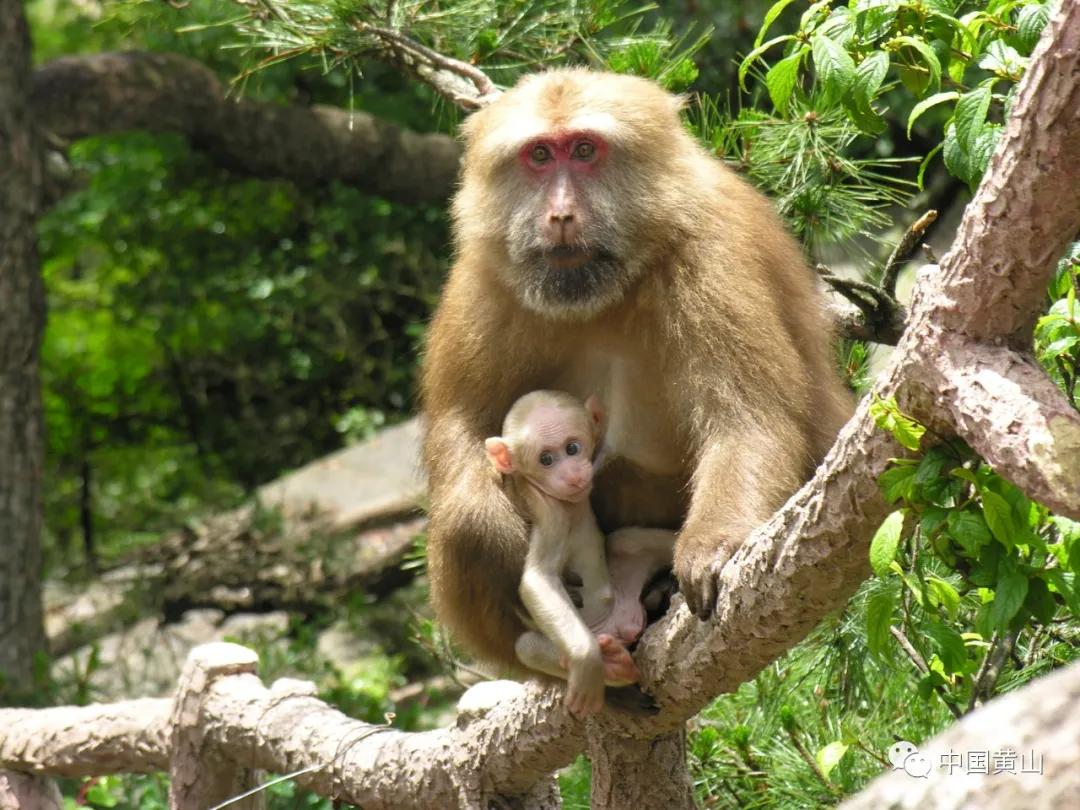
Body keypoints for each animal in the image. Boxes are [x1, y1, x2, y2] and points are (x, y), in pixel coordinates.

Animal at [421, 71, 851, 686]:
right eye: (539, 155)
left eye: (584, 150)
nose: (560, 215)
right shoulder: (483, 274)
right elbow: (461, 429)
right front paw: (486, 521)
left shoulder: (712, 255)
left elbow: (748, 421)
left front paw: (710, 546)